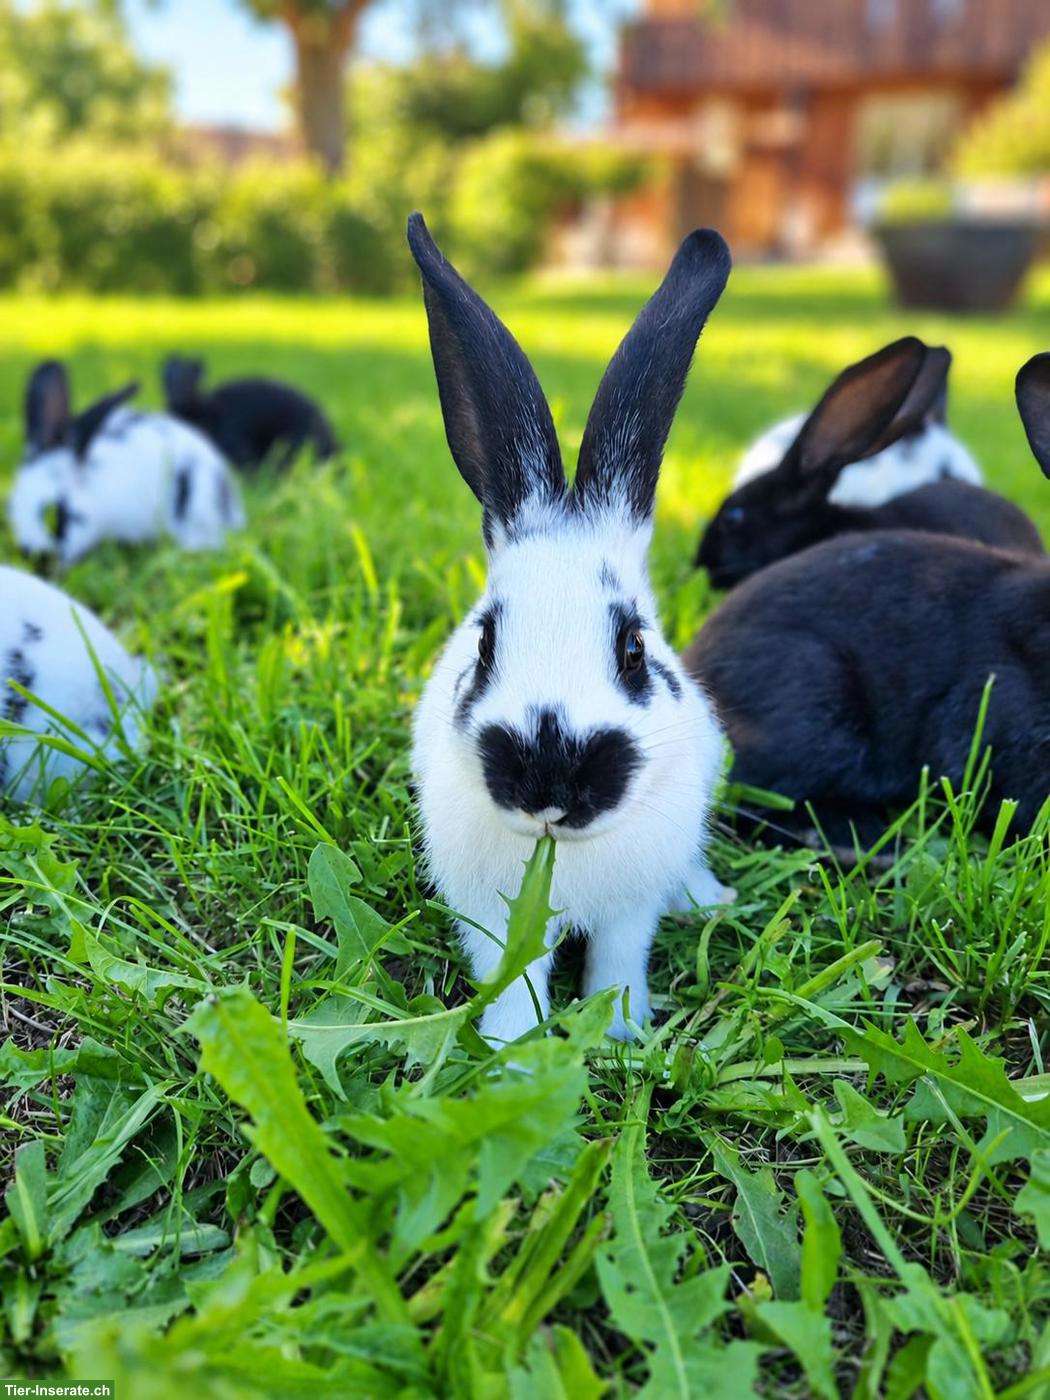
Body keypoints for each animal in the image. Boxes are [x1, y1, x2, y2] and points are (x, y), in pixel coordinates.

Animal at [408, 211, 735, 1047]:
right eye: (485, 642)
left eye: (633, 648)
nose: (550, 781)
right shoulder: (492, 916)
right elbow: (513, 982)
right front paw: (511, 1053)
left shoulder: (629, 907)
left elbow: (619, 959)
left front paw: (620, 1035)